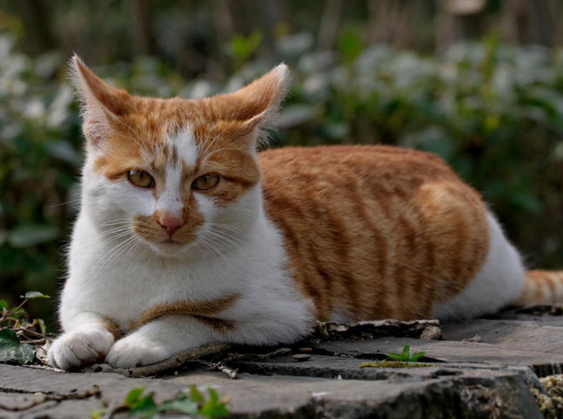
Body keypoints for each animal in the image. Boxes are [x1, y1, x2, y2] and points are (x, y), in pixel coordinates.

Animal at [48, 55, 563, 370]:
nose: (170, 220)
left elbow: (189, 318)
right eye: (140, 178)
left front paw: (138, 342)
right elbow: (85, 318)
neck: (153, 268)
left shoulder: (282, 315)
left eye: (206, 182)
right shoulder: (78, 296)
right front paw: (76, 343)